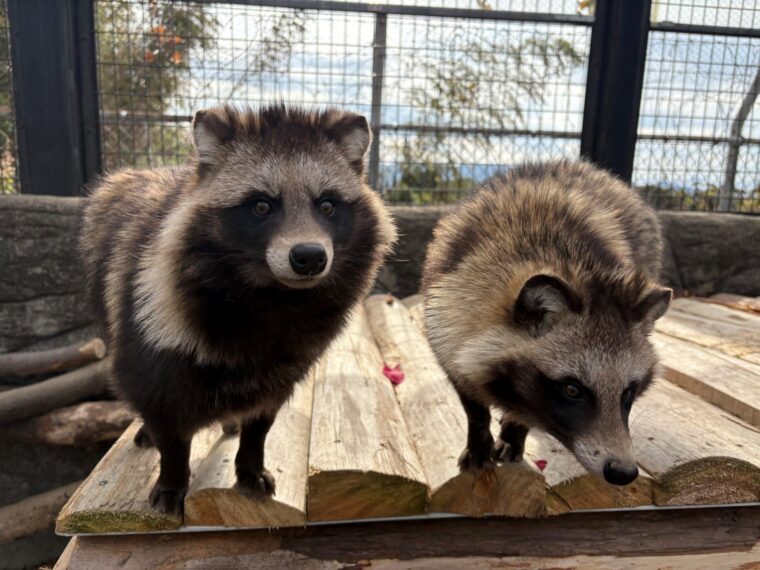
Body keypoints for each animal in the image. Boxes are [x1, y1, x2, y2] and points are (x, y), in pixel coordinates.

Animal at [83, 104, 398, 512]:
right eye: (262, 206)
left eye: (327, 205)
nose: (310, 257)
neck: (271, 298)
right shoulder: (147, 326)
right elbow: (164, 417)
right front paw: (172, 473)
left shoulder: (285, 362)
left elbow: (262, 419)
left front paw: (250, 461)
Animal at [422, 159, 672, 484]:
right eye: (572, 389)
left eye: (628, 392)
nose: (623, 472)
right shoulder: (445, 313)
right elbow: (469, 396)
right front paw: (479, 436)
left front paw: (515, 430)